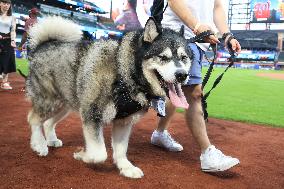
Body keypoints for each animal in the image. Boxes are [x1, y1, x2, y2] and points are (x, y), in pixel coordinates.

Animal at [26, 16, 193, 179]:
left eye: (184, 57)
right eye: (163, 57)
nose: (182, 75)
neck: (124, 72)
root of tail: (44, 44)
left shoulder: (124, 121)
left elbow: (121, 150)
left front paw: (125, 167)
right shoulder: (91, 114)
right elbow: (100, 154)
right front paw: (83, 155)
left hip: (64, 105)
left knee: (47, 122)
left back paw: (51, 140)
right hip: (49, 102)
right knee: (33, 119)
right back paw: (39, 145)